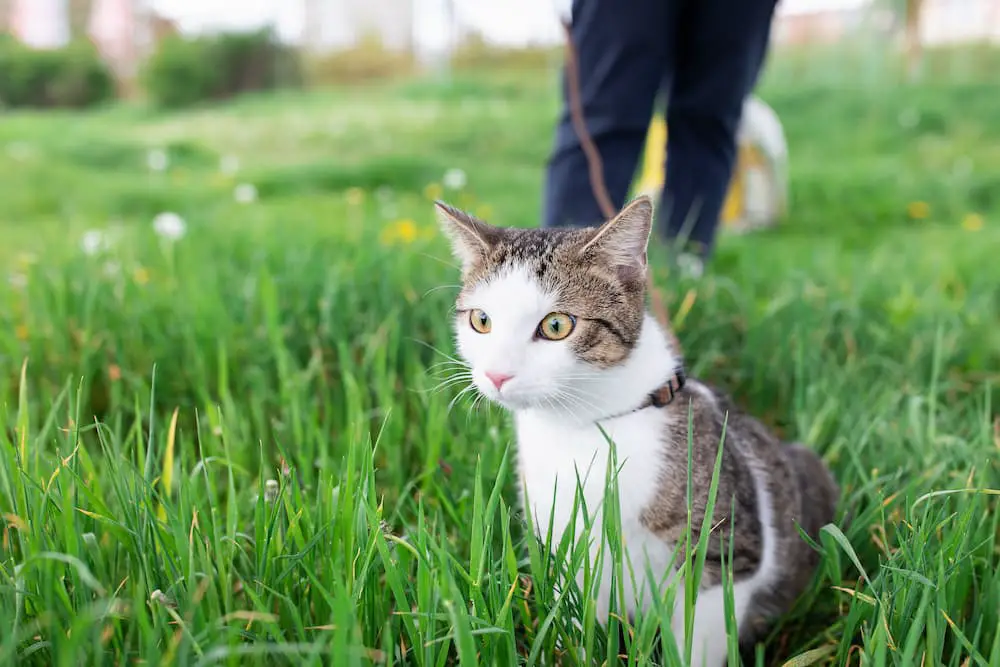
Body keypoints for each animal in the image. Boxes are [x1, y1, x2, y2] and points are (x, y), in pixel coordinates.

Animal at [436, 196, 836, 664]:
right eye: (481, 320)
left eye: (556, 325)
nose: (497, 375)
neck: (583, 427)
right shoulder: (565, 547)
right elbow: (577, 618)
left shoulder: (728, 550)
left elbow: (699, 634)